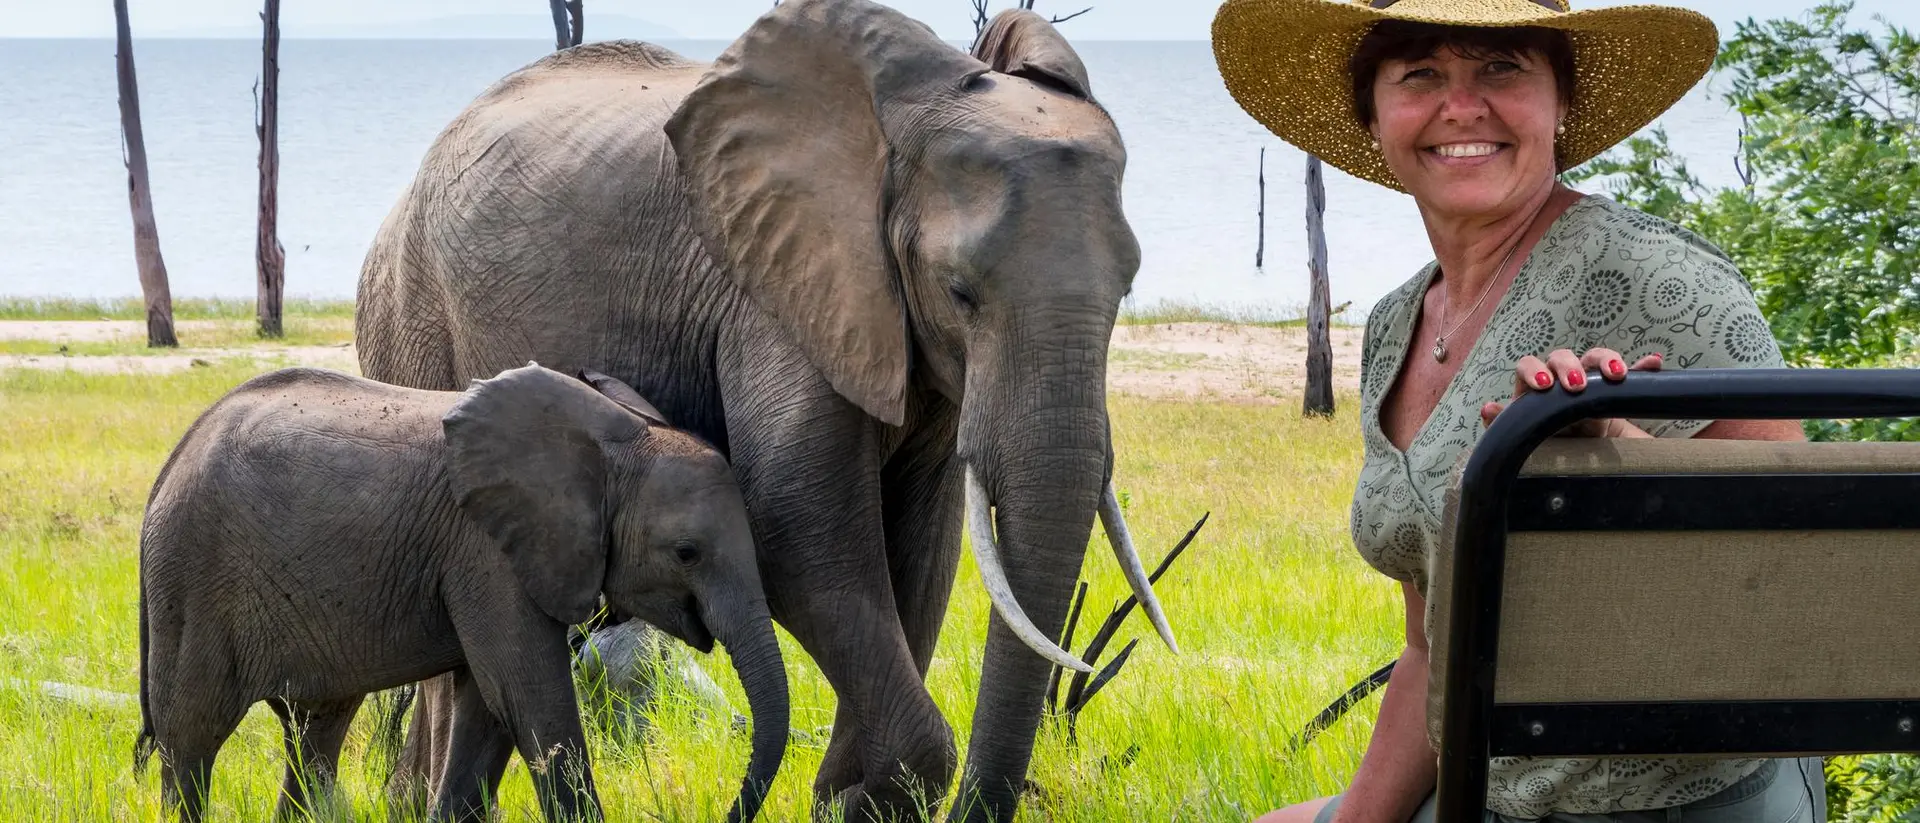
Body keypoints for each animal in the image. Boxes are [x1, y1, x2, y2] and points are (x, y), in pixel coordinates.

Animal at [133, 364, 788, 823]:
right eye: (687, 553)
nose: (730, 812)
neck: (617, 440)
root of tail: (168, 467)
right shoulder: (487, 550)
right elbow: (528, 696)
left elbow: (487, 708)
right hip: (191, 583)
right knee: (191, 739)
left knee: (316, 731)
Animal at [352, 1, 1177, 820]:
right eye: (960, 291)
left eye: (1128, 289)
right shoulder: (770, 288)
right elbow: (797, 523)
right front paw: (871, 793)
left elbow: (924, 546)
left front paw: (850, 795)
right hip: (409, 313)